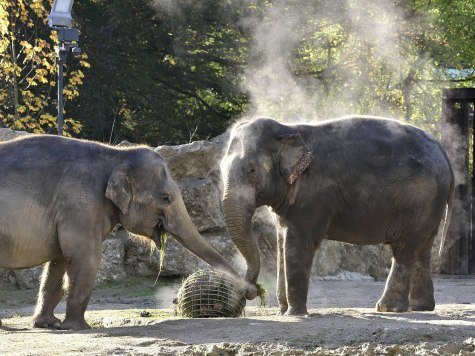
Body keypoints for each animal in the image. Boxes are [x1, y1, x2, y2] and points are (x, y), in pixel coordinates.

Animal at [0, 135, 253, 330]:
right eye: (166, 198)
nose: (251, 292)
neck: (116, 155)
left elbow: (59, 263)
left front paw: (48, 324)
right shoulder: (80, 205)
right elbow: (85, 258)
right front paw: (79, 328)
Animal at [221, 116, 456, 314]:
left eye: (252, 170)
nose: (251, 292)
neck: (287, 128)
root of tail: (442, 150)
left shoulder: (313, 193)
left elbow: (298, 242)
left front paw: (294, 314)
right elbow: (281, 241)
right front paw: (282, 312)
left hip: (417, 200)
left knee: (403, 249)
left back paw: (388, 308)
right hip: (429, 204)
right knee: (422, 248)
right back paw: (421, 308)